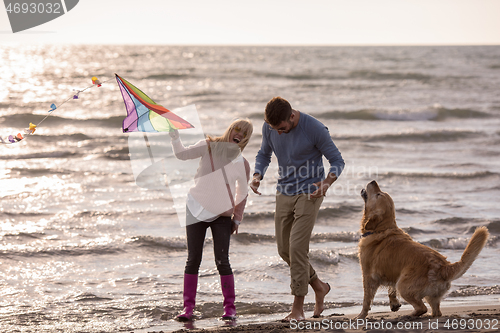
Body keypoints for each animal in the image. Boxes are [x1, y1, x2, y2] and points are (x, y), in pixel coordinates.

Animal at [356, 180, 488, 318]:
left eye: (378, 194)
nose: (373, 181)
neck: (381, 228)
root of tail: (443, 267)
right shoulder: (391, 273)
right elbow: (391, 290)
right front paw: (394, 304)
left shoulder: (368, 275)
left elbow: (366, 300)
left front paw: (360, 316)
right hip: (430, 295)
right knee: (436, 311)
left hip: (403, 285)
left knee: (421, 307)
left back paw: (408, 315)